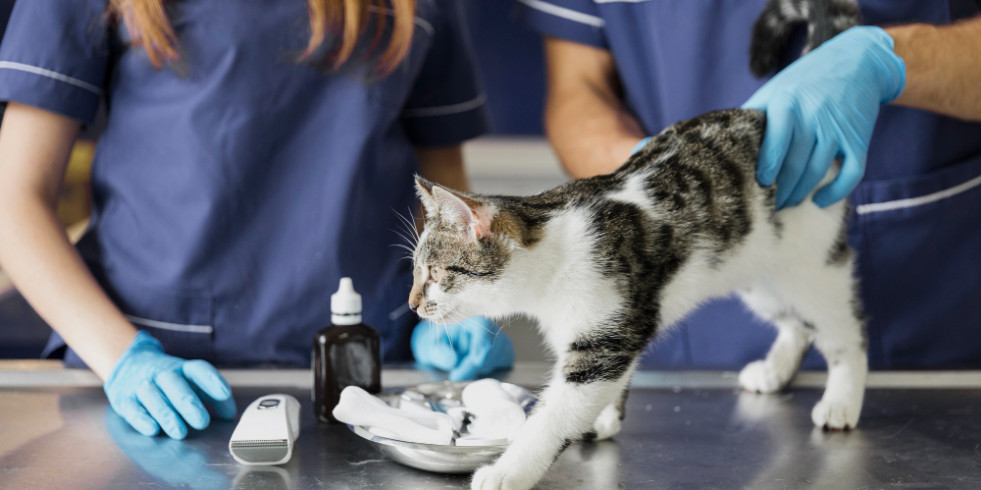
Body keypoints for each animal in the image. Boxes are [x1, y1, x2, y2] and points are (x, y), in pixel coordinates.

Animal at [406, 0, 864, 490]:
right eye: (416, 271)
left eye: (436, 273)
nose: (413, 304)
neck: (552, 257)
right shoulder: (606, 331)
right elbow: (614, 378)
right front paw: (605, 416)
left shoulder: (606, 335)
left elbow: (553, 415)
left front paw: (509, 470)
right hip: (759, 275)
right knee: (797, 322)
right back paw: (776, 369)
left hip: (810, 266)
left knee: (844, 332)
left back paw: (842, 399)